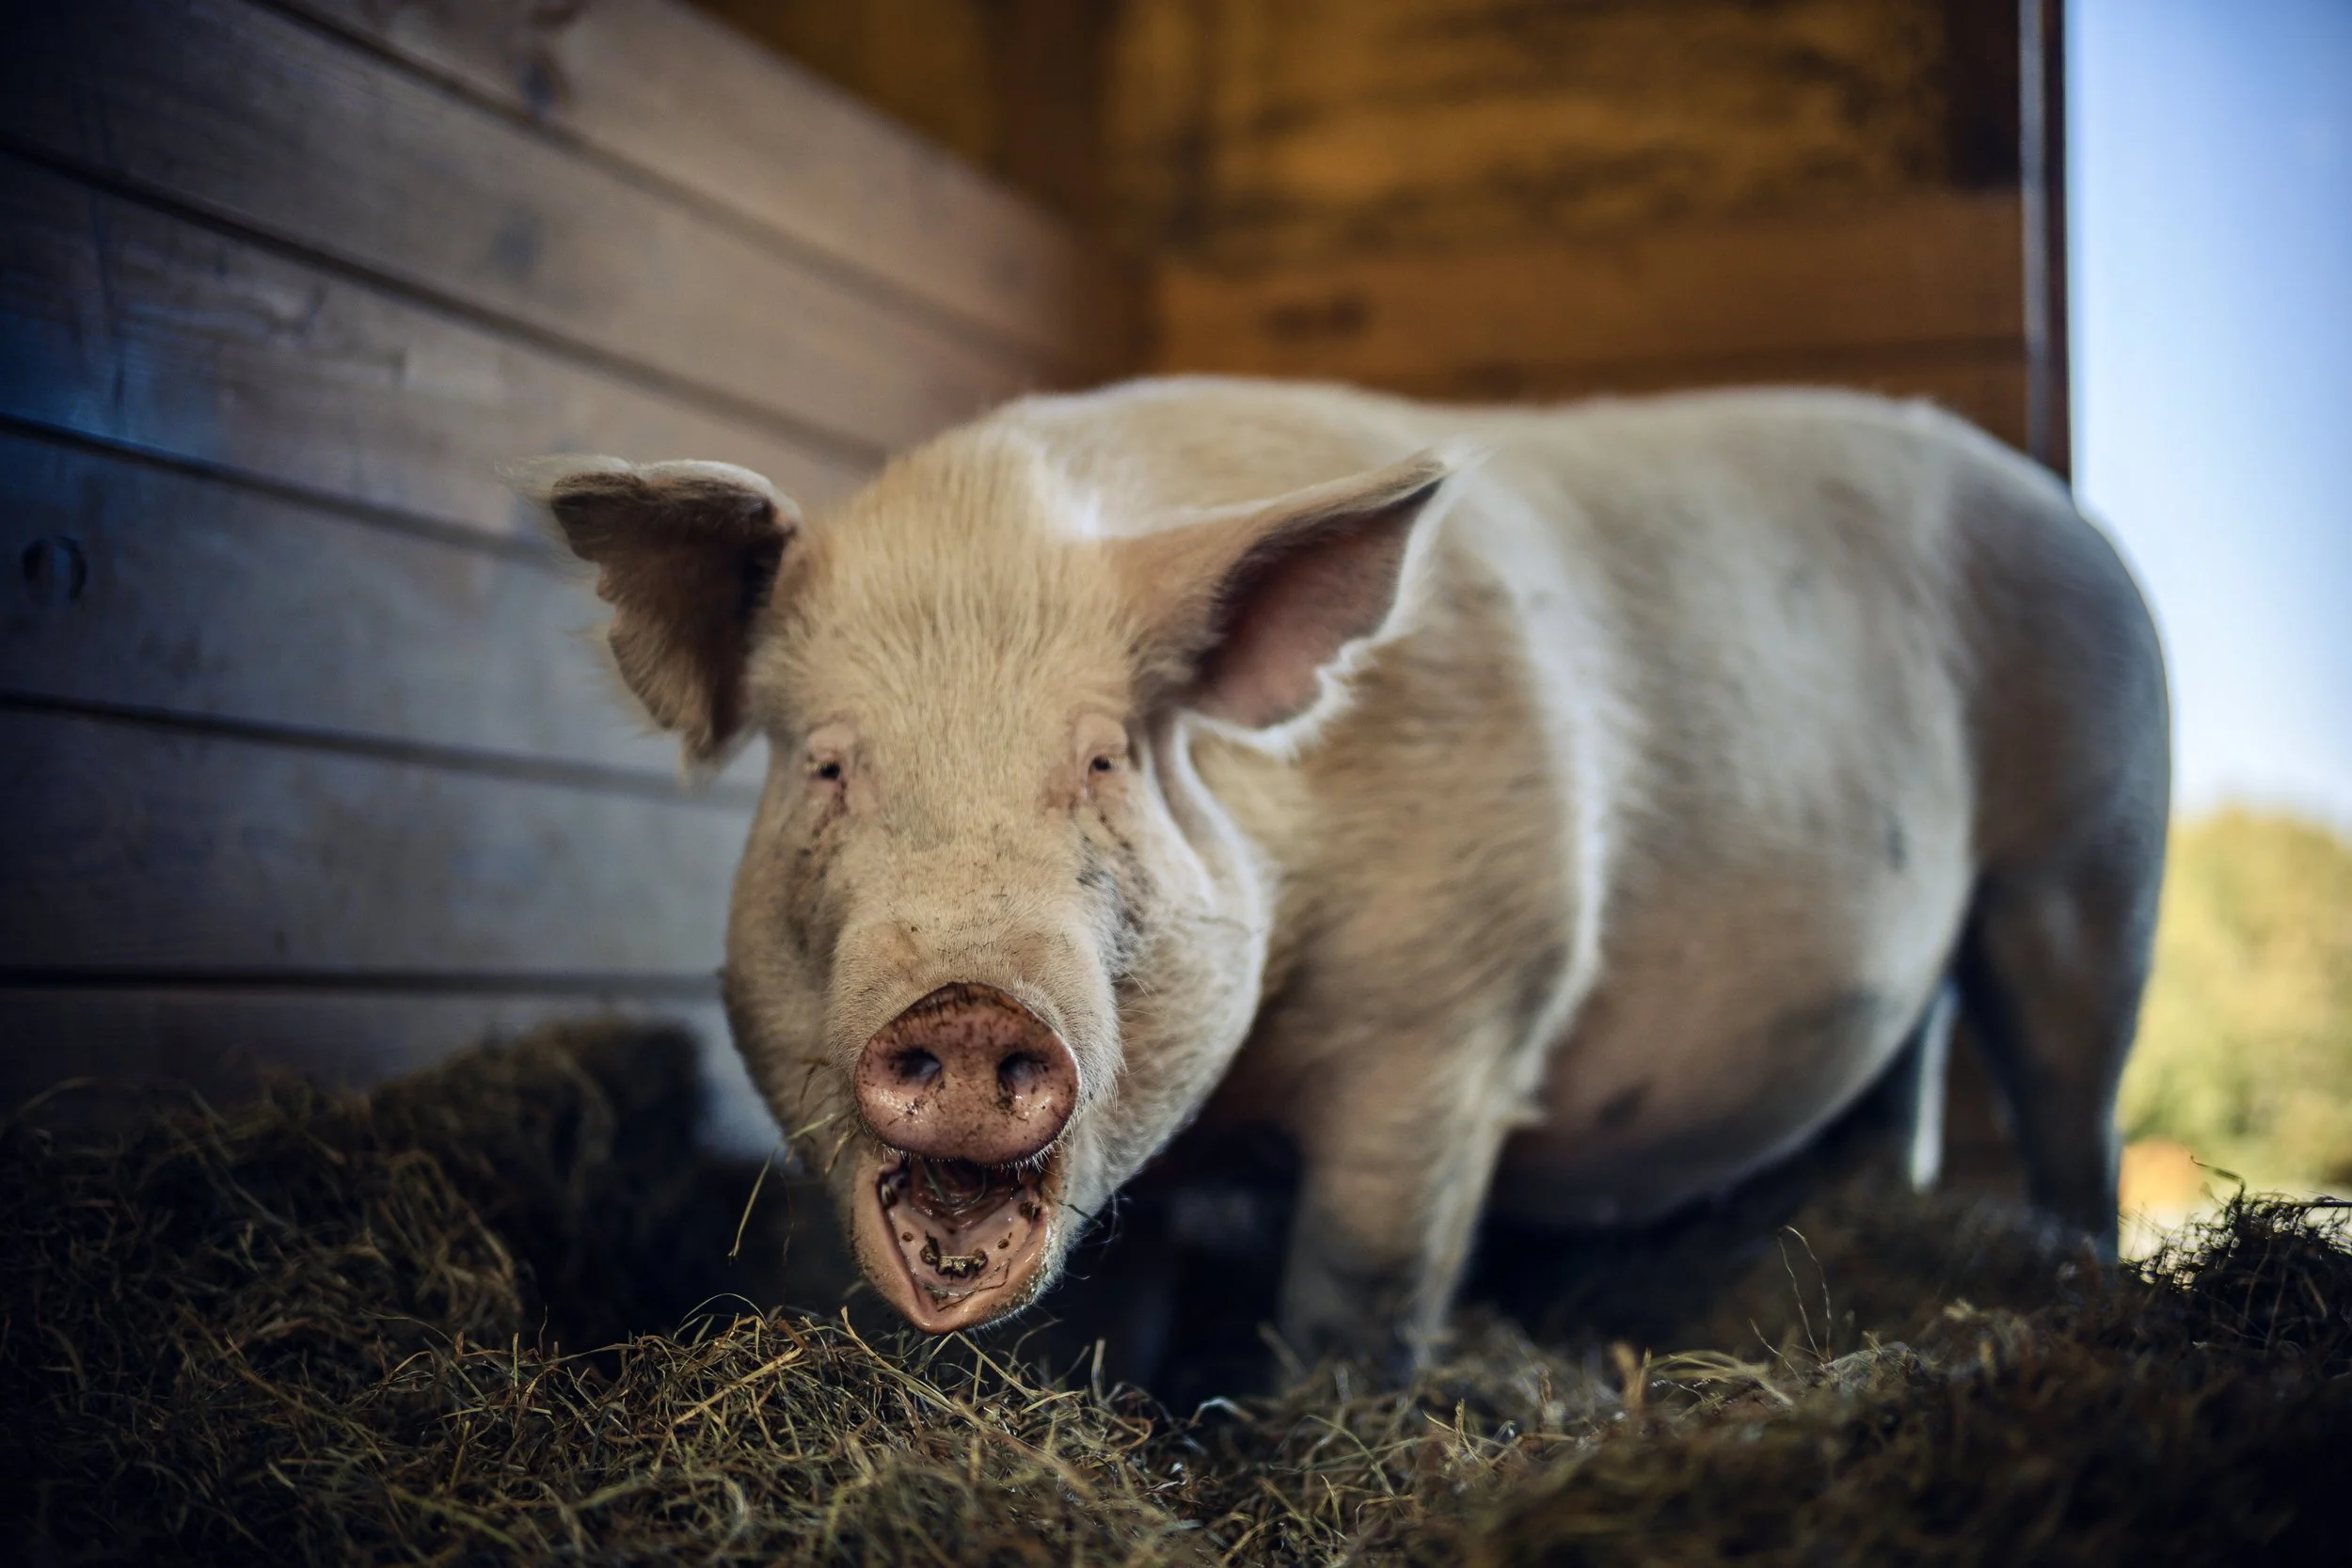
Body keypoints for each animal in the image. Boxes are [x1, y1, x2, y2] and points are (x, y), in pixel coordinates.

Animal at [516, 377, 2167, 1374]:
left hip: (2090, 863)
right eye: (828, 767)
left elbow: (1358, 1292)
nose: (975, 1009)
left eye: (1104, 759)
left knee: (2073, 1107)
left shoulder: (1459, 1017)